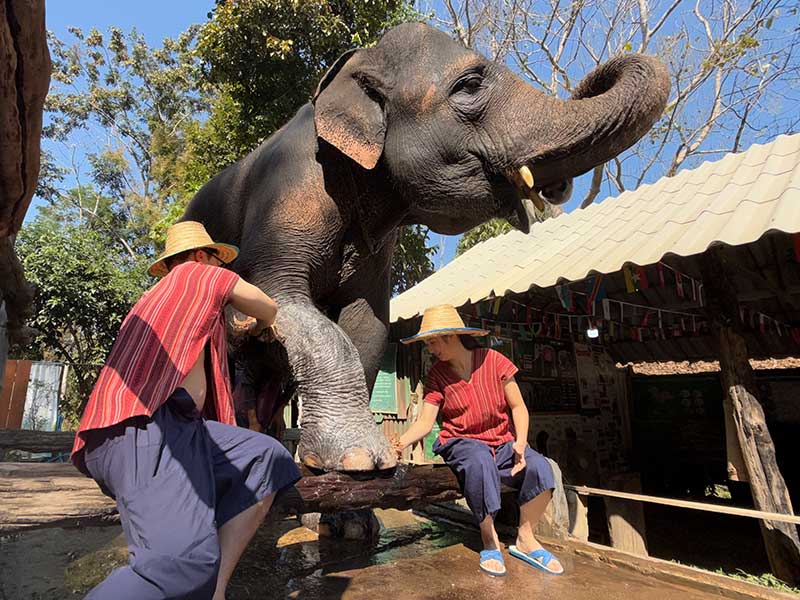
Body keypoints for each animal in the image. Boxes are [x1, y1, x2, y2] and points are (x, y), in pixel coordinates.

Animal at [183, 22, 669, 472]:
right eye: (470, 84)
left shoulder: (377, 248)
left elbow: (367, 326)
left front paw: (353, 462)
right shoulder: (290, 192)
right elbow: (272, 294)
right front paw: (356, 459)